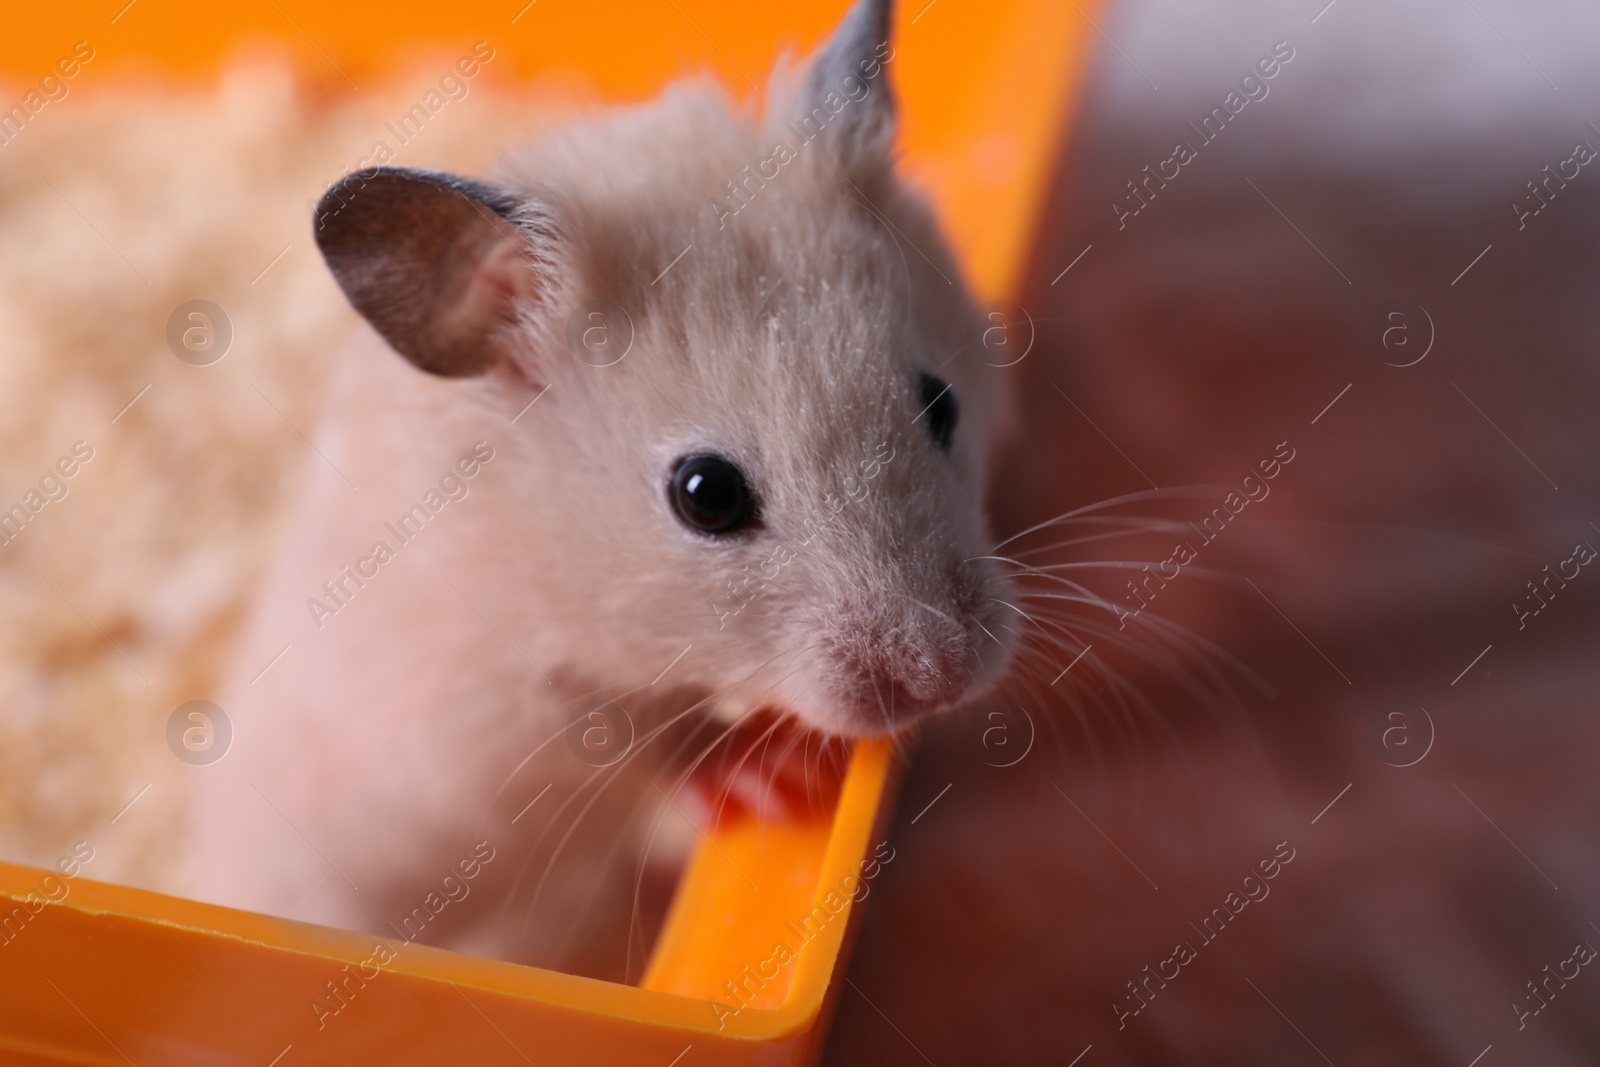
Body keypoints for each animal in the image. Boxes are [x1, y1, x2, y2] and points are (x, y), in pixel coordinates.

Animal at [187, 0, 1011, 979]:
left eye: (941, 401)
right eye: (705, 494)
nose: (942, 681)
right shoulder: (503, 719)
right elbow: (643, 743)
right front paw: (780, 778)